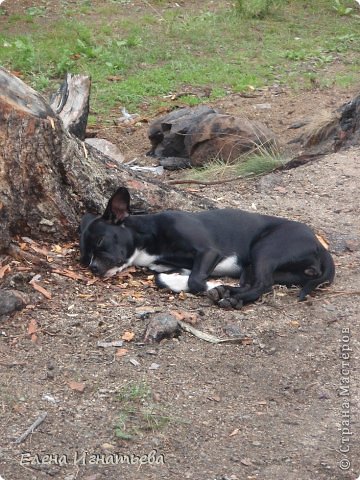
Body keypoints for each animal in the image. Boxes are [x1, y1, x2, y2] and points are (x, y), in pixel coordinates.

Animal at [79, 186, 334, 310]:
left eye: (100, 242)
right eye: (85, 256)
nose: (93, 268)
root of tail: (318, 244)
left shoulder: (208, 252)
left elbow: (195, 281)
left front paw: (212, 285)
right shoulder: (173, 266)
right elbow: (164, 279)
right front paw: (211, 285)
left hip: (265, 249)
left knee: (263, 284)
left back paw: (231, 297)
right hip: (260, 267)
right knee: (254, 283)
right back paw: (230, 292)